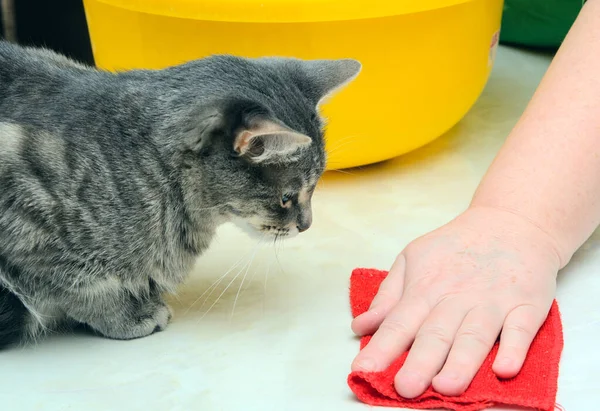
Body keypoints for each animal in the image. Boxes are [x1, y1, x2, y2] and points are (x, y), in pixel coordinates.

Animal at [0, 41, 360, 348]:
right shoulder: (30, 226)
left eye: (314, 188)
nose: (307, 225)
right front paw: (127, 316)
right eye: (286, 197)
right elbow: (86, 287)